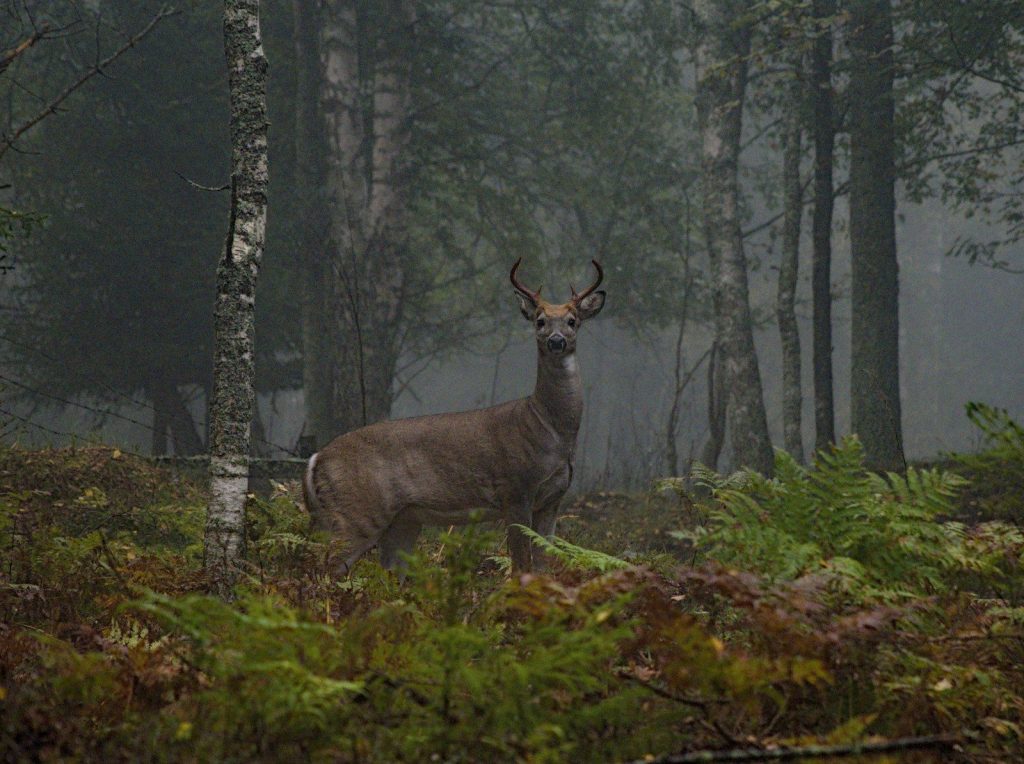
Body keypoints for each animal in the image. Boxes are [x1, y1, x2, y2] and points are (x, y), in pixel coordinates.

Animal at [302, 259, 606, 574]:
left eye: (572, 321)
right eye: (540, 321)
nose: (556, 341)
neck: (548, 427)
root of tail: (316, 459)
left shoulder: (553, 499)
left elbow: (543, 566)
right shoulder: (515, 490)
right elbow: (521, 564)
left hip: (403, 519)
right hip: (357, 511)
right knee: (327, 567)